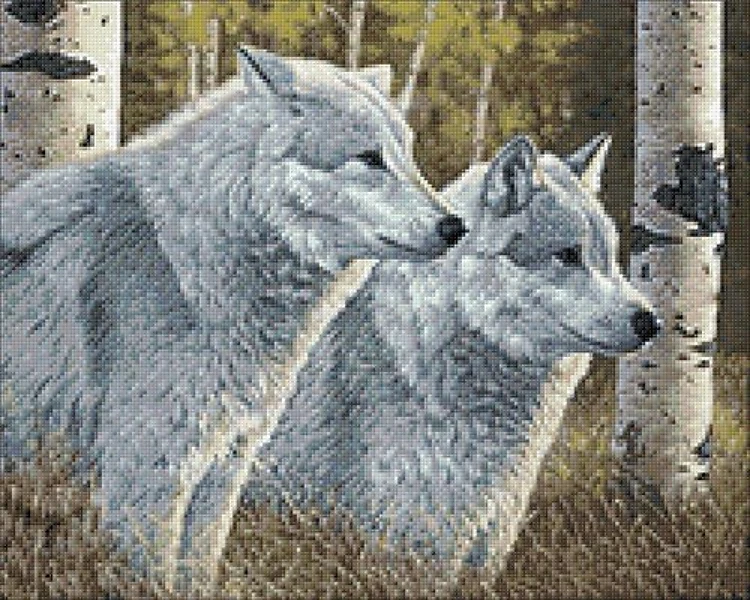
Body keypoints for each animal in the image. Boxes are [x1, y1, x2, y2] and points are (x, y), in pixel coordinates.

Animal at [0, 48, 464, 593]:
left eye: (408, 156)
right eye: (369, 158)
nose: (456, 227)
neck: (187, 264)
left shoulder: (222, 469)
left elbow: (197, 575)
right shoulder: (147, 477)